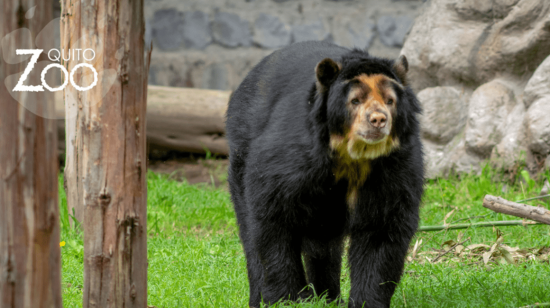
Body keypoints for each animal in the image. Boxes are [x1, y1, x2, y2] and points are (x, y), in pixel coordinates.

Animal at [226, 41, 424, 308]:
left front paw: (365, 301)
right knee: (250, 229)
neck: (354, 157)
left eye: (390, 100)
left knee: (323, 244)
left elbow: (382, 232)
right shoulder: (290, 160)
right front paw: (285, 299)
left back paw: (328, 297)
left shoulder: (396, 168)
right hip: (241, 152)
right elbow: (272, 218)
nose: (378, 120)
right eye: (355, 100)